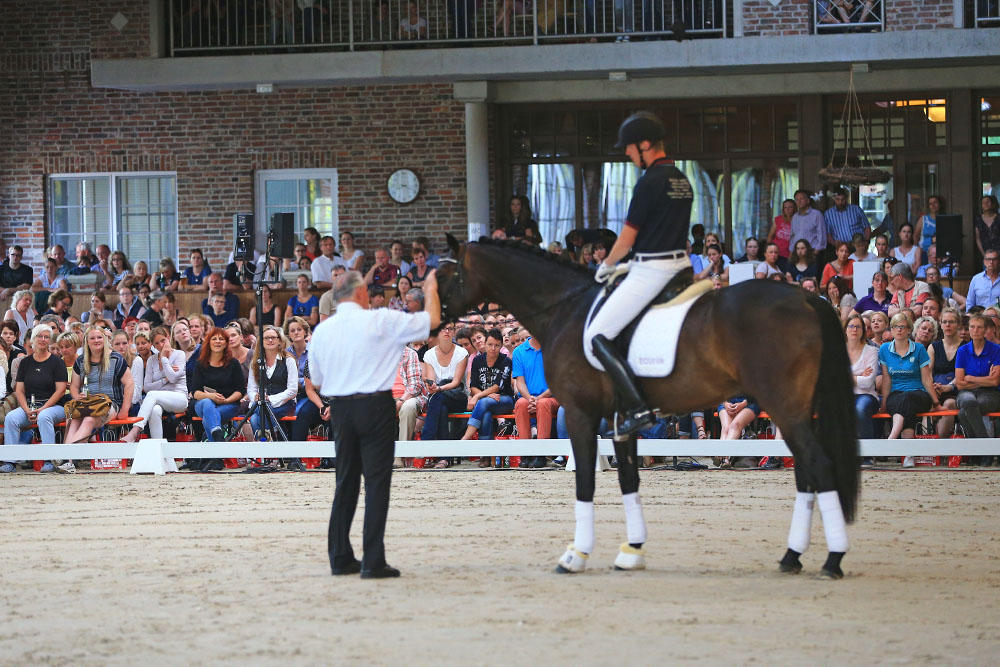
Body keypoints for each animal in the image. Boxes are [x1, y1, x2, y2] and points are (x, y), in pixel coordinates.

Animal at [436, 235, 860, 579]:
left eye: (443, 276)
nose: (434, 323)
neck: (566, 310)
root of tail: (807, 297)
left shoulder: (580, 413)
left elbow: (585, 480)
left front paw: (576, 555)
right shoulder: (621, 421)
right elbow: (629, 480)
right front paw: (632, 552)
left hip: (782, 406)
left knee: (818, 465)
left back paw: (832, 560)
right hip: (796, 410)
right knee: (806, 471)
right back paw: (792, 557)